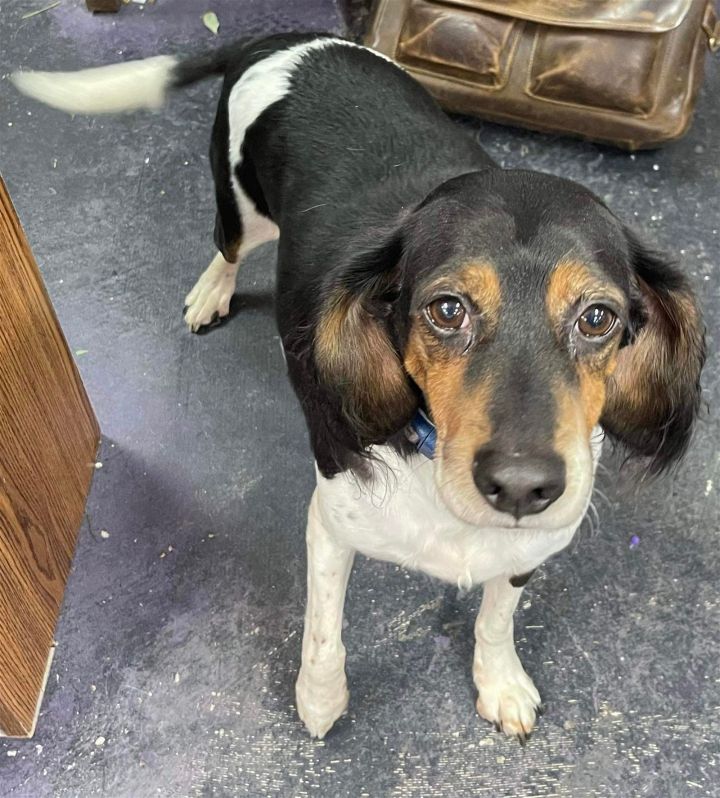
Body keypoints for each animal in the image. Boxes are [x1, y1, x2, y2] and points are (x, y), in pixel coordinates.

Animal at [14, 32, 704, 744]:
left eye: (598, 318)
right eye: (446, 309)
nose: (521, 485)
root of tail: (283, 39)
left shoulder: (529, 549)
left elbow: (494, 620)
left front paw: (500, 682)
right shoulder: (329, 526)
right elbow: (324, 633)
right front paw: (320, 699)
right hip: (240, 206)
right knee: (228, 247)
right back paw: (211, 291)